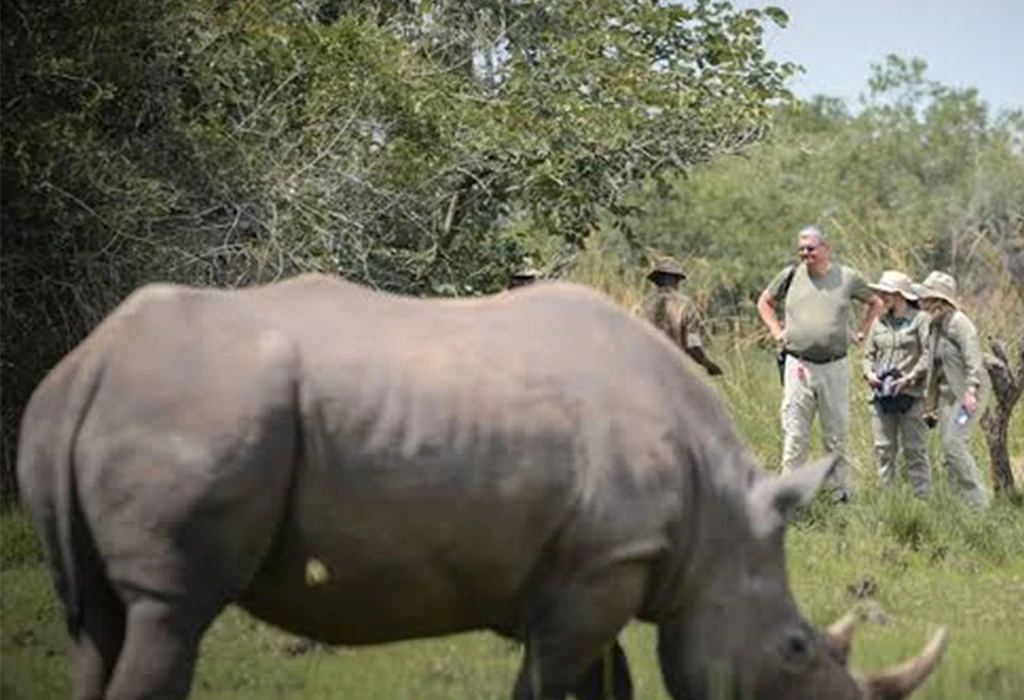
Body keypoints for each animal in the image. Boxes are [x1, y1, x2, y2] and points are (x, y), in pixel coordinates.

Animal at [17, 274, 946, 700]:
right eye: (794, 650)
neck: (719, 524)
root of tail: (91, 364)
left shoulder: (595, 567)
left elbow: (608, 683)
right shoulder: (601, 568)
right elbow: (547, 686)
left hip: (99, 416)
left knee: (97, 622)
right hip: (201, 412)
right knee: (171, 609)